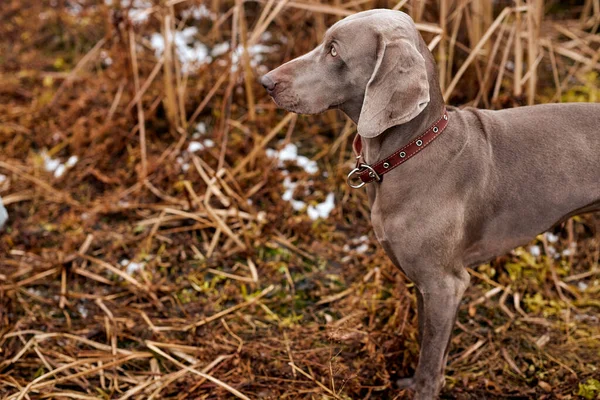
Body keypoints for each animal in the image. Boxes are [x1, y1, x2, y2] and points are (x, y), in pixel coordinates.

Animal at [260, 7, 600, 398]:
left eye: (333, 51)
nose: (265, 81)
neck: (412, 150)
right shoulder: (423, 282)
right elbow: (429, 342)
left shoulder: (444, 284)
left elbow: (430, 361)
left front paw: (422, 389)